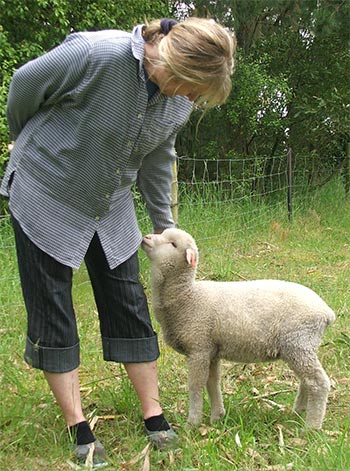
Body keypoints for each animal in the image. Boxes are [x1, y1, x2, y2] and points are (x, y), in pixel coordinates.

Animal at [141, 229, 334, 432]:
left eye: (173, 244)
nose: (146, 238)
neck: (186, 296)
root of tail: (326, 312)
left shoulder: (198, 348)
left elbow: (195, 386)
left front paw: (192, 423)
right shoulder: (211, 351)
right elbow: (212, 383)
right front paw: (217, 417)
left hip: (299, 342)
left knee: (318, 383)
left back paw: (311, 427)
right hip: (299, 348)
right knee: (307, 381)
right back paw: (297, 413)